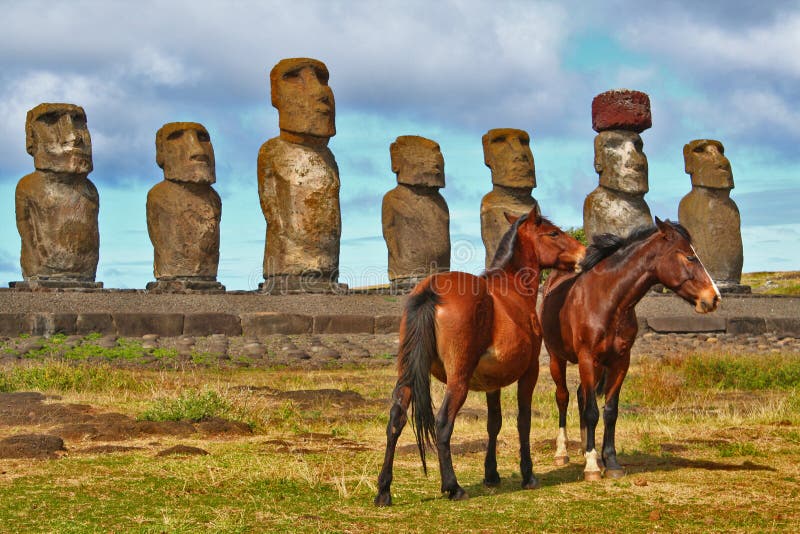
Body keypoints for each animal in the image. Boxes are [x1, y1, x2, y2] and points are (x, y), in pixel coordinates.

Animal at [376, 209, 588, 506]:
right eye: (554, 233)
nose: (584, 253)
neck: (511, 290)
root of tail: (431, 289)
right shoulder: (530, 372)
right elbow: (523, 421)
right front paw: (528, 475)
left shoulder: (492, 383)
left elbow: (494, 424)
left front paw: (491, 474)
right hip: (458, 381)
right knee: (443, 424)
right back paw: (453, 487)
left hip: (407, 376)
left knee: (396, 420)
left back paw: (384, 490)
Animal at [540, 218, 720, 482]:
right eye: (689, 256)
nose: (714, 298)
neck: (607, 301)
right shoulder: (587, 358)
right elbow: (592, 411)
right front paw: (592, 467)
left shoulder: (620, 362)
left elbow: (609, 411)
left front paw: (610, 462)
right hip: (557, 358)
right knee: (563, 397)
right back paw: (563, 453)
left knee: (582, 395)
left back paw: (586, 449)